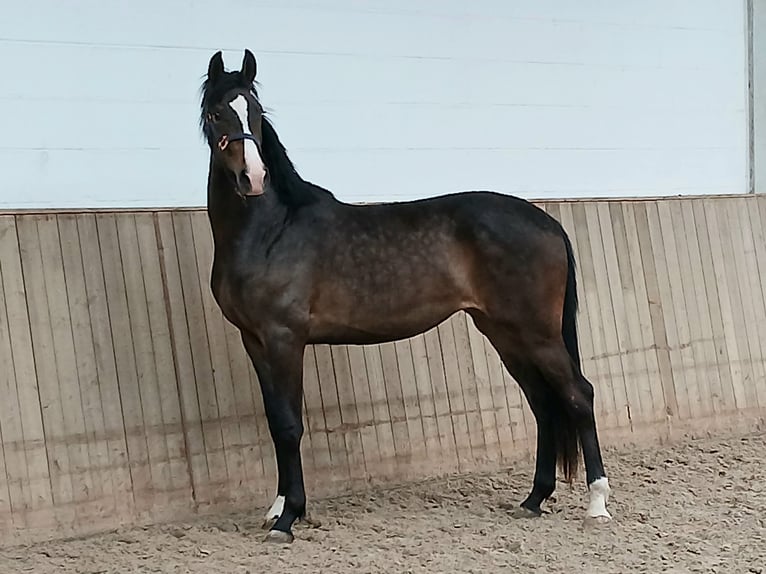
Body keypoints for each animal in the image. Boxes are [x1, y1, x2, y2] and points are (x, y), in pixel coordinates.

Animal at [199, 49, 612, 543]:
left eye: (257, 114)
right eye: (217, 113)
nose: (253, 178)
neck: (271, 230)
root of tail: (548, 222)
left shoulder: (285, 339)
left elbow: (290, 423)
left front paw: (288, 518)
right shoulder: (255, 341)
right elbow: (275, 422)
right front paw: (279, 507)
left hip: (538, 334)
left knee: (579, 395)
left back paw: (597, 504)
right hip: (504, 332)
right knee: (543, 403)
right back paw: (533, 499)